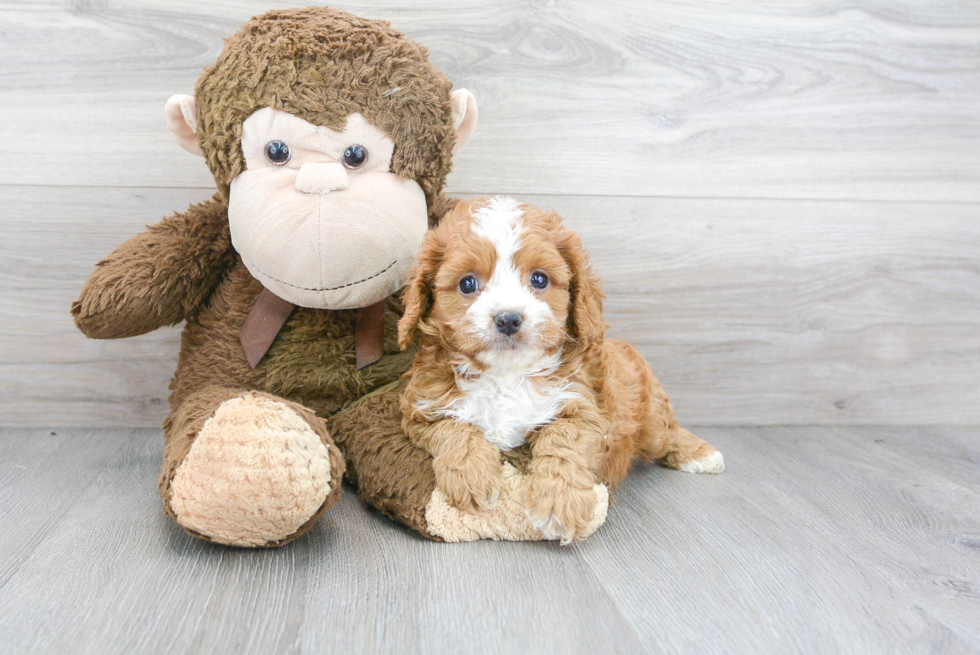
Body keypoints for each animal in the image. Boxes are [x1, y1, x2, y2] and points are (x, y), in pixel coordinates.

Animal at [394, 196, 724, 544]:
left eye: (539, 279)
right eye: (467, 283)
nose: (508, 319)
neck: (505, 376)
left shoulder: (582, 407)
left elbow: (563, 441)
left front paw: (560, 503)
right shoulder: (422, 411)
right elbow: (455, 429)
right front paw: (472, 477)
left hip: (651, 423)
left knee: (669, 434)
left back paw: (701, 455)